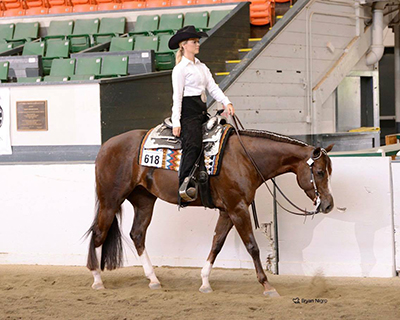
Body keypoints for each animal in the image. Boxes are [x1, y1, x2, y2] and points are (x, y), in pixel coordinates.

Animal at [86, 126, 334, 296]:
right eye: (320, 172)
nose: (328, 204)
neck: (245, 158)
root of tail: (106, 146)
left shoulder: (227, 211)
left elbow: (217, 243)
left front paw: (205, 282)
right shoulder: (237, 208)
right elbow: (252, 247)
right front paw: (267, 285)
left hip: (144, 201)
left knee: (137, 234)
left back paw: (153, 279)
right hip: (110, 200)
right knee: (98, 234)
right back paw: (97, 280)